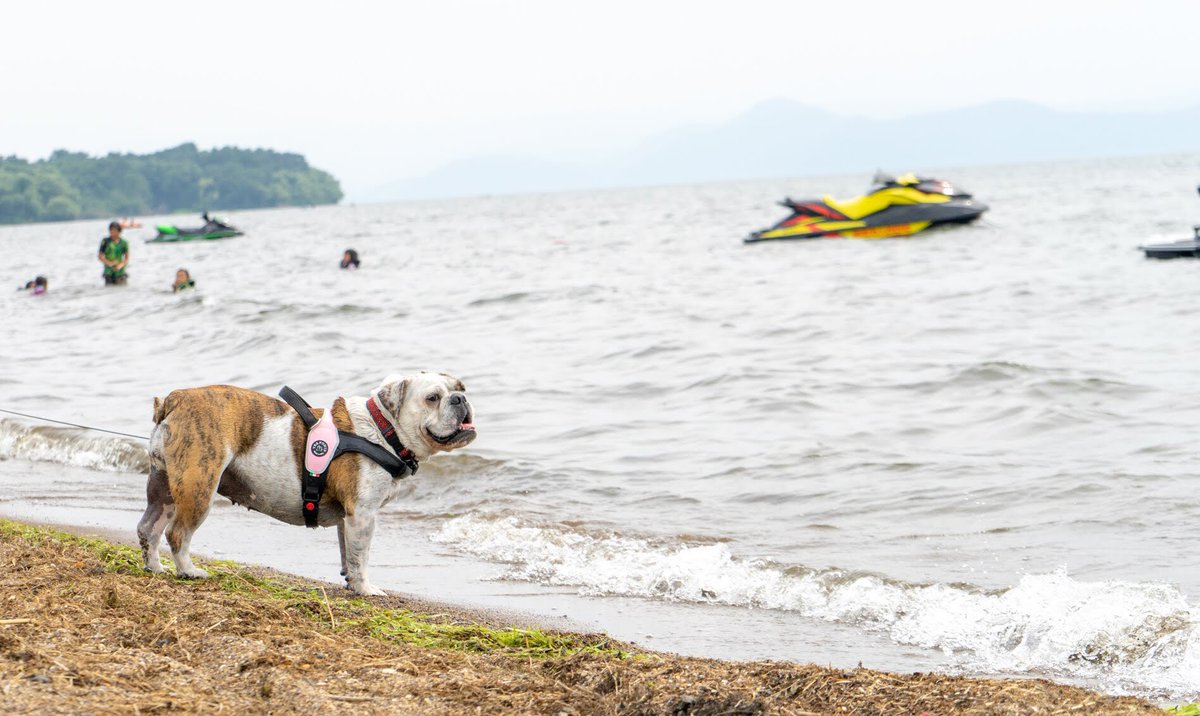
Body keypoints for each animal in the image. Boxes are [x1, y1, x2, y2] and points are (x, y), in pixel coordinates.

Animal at [138, 371, 475, 594]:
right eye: (433, 398)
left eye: (461, 388)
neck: (383, 430)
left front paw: (352, 582)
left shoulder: (350, 518)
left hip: (164, 487)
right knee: (178, 533)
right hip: (198, 485)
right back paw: (189, 571)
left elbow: (349, 552)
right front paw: (366, 589)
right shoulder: (364, 514)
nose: (460, 398)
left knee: (148, 528)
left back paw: (155, 566)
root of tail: (176, 399)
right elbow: (362, 555)